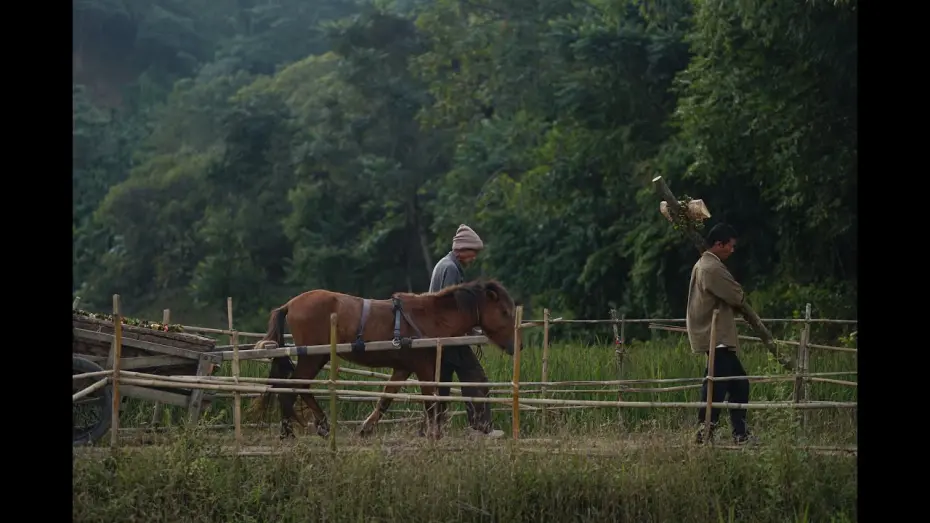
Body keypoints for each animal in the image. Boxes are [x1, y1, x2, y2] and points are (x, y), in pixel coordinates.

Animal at [246, 280, 520, 440]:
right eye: (504, 311)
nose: (517, 346)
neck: (430, 317)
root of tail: (289, 304)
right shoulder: (424, 366)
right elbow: (431, 401)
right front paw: (433, 433)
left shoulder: (402, 369)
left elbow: (386, 399)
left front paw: (367, 428)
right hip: (314, 356)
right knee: (294, 386)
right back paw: (310, 427)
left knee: (293, 387)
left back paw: (296, 429)